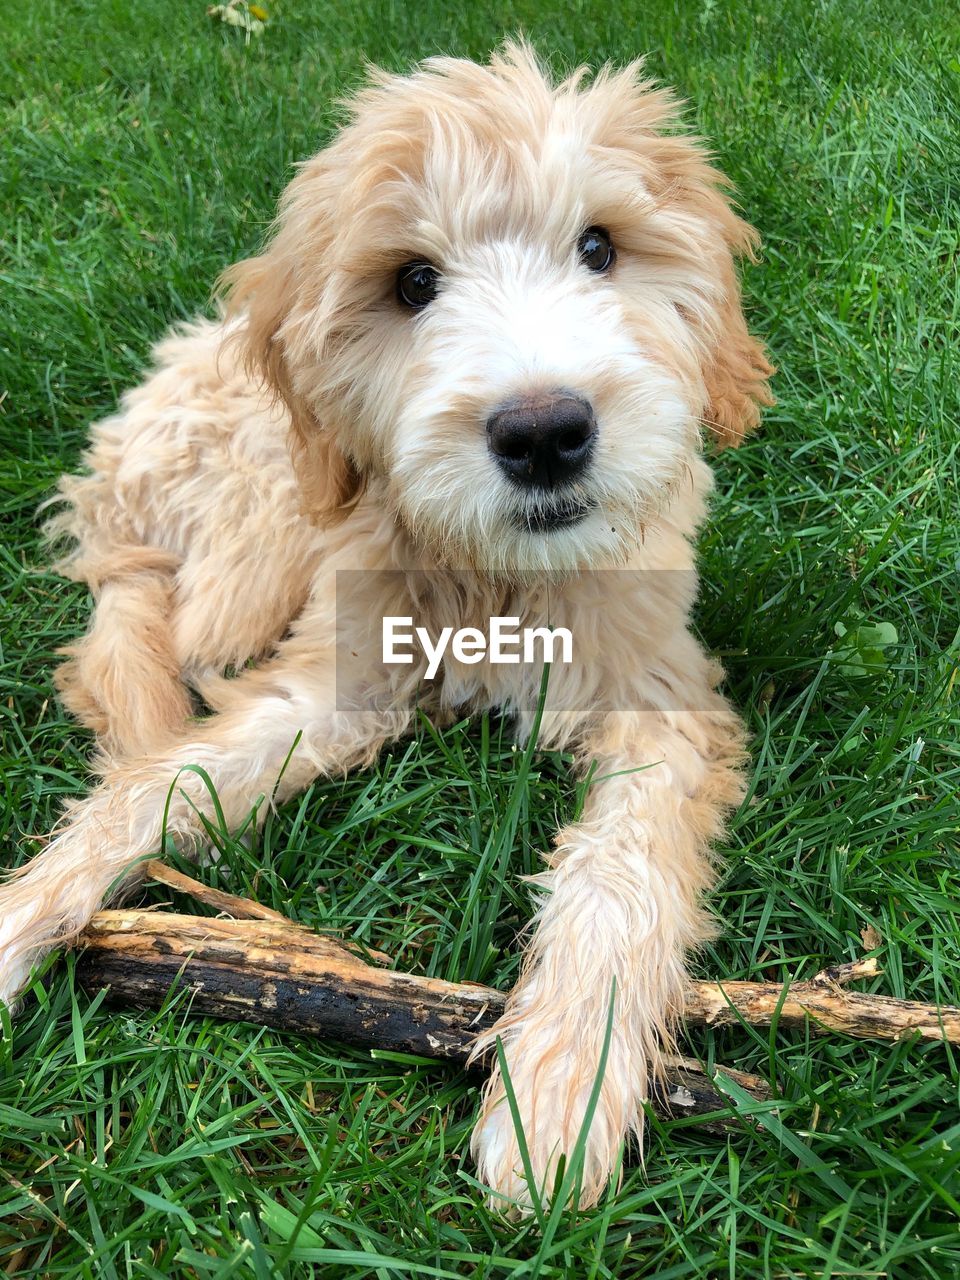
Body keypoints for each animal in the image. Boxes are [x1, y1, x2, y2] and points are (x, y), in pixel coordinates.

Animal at [0, 45, 773, 1208]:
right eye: (413, 283)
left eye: (599, 246)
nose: (544, 433)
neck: (495, 578)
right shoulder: (337, 677)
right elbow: (159, 785)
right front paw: (24, 914)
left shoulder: (663, 699)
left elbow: (619, 875)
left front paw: (562, 1084)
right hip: (264, 524)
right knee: (154, 645)